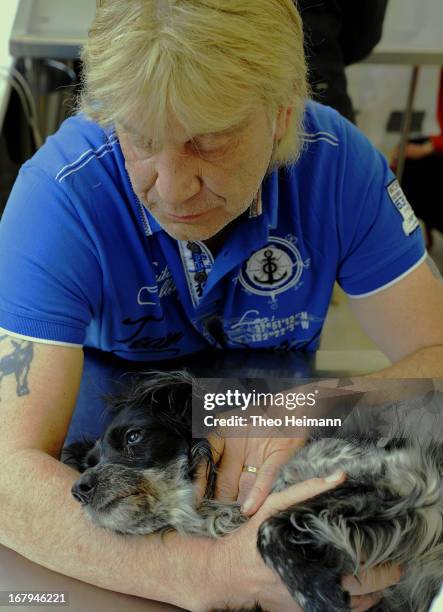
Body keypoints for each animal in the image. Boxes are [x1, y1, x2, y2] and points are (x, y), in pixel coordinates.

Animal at [61, 370, 443, 608]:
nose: (79, 489)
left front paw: (320, 596)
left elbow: (269, 528)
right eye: (89, 463)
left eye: (133, 436)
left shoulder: (405, 478)